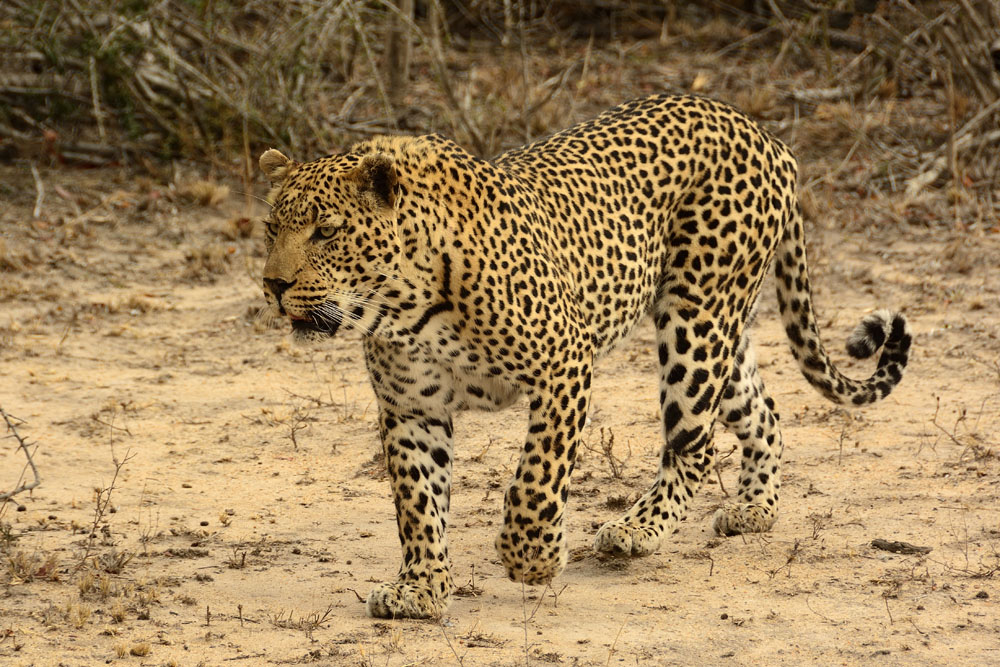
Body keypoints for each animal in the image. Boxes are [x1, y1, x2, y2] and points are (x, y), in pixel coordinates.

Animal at [257, 93, 911, 619]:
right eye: (270, 229)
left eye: (326, 231)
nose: (273, 285)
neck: (401, 303)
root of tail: (765, 134)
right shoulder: (411, 408)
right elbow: (418, 501)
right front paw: (420, 588)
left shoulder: (565, 363)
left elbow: (537, 476)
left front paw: (531, 558)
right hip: (720, 332)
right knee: (762, 412)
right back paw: (755, 509)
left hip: (695, 326)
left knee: (694, 444)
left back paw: (636, 530)